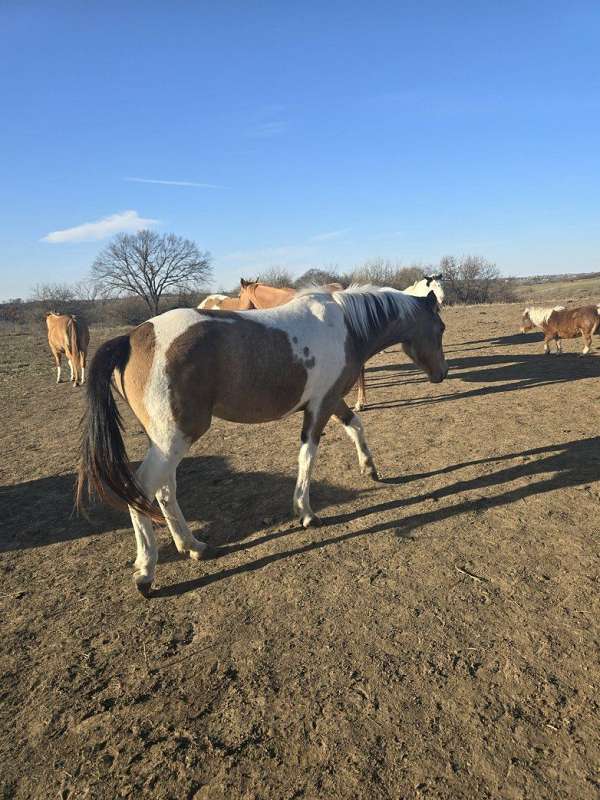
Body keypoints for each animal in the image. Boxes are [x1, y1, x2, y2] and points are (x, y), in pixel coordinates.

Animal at [77, 285, 447, 596]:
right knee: (142, 490)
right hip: (174, 438)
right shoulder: (320, 407)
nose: (441, 374)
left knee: (165, 491)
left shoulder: (330, 401)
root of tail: (131, 338)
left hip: (166, 441)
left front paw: (370, 468)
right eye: (440, 328)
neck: (344, 327)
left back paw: (193, 546)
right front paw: (306, 512)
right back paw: (146, 572)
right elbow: (308, 457)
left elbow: (355, 425)